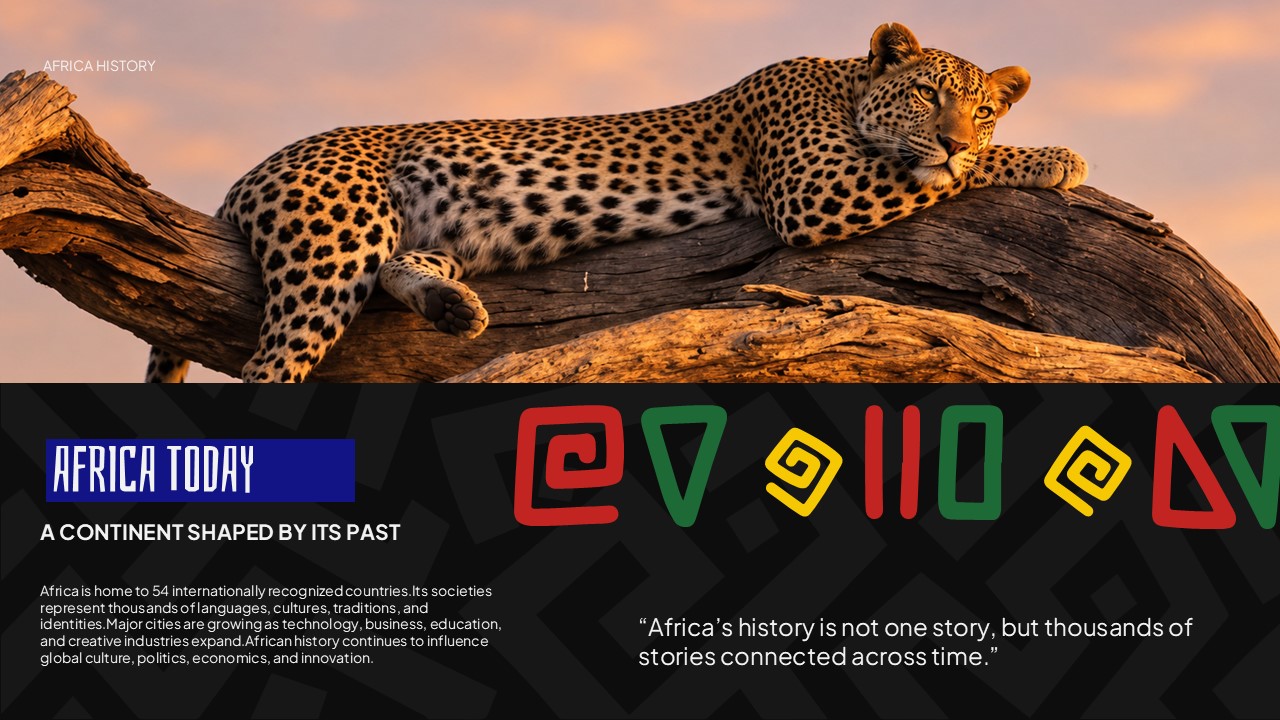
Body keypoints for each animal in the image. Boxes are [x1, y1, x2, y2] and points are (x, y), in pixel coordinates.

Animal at [145, 22, 1086, 383]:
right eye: (928, 95)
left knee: (402, 269)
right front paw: (1053, 156)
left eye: (983, 105)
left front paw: (1029, 148)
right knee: (275, 364)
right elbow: (943, 173)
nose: (958, 135)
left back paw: (452, 308)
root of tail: (245, 174)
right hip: (333, 242)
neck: (844, 82)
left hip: (422, 234)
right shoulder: (812, 188)